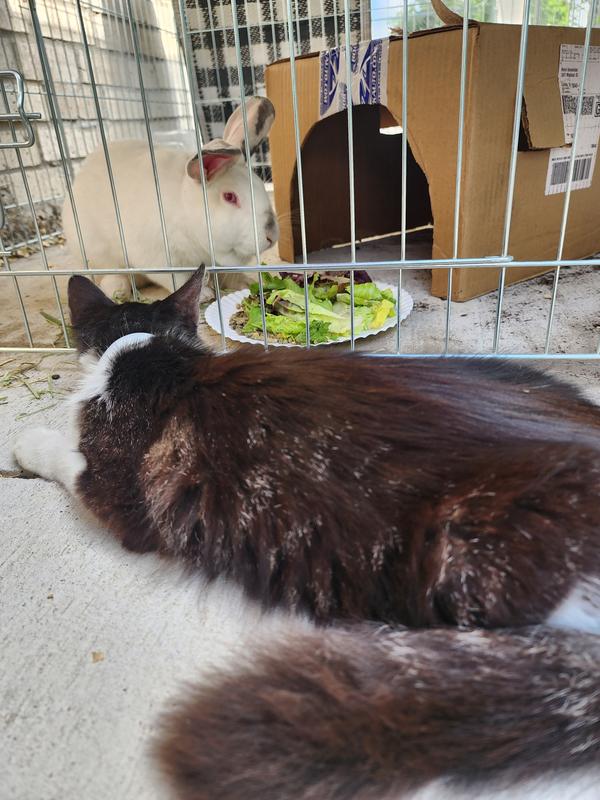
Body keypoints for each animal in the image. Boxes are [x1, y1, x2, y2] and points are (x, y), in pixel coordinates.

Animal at [61, 96, 279, 304]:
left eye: (260, 184)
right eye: (230, 197)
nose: (272, 236)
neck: (184, 210)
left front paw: (246, 282)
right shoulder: (160, 259)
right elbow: (178, 279)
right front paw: (204, 295)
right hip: (98, 257)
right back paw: (118, 290)